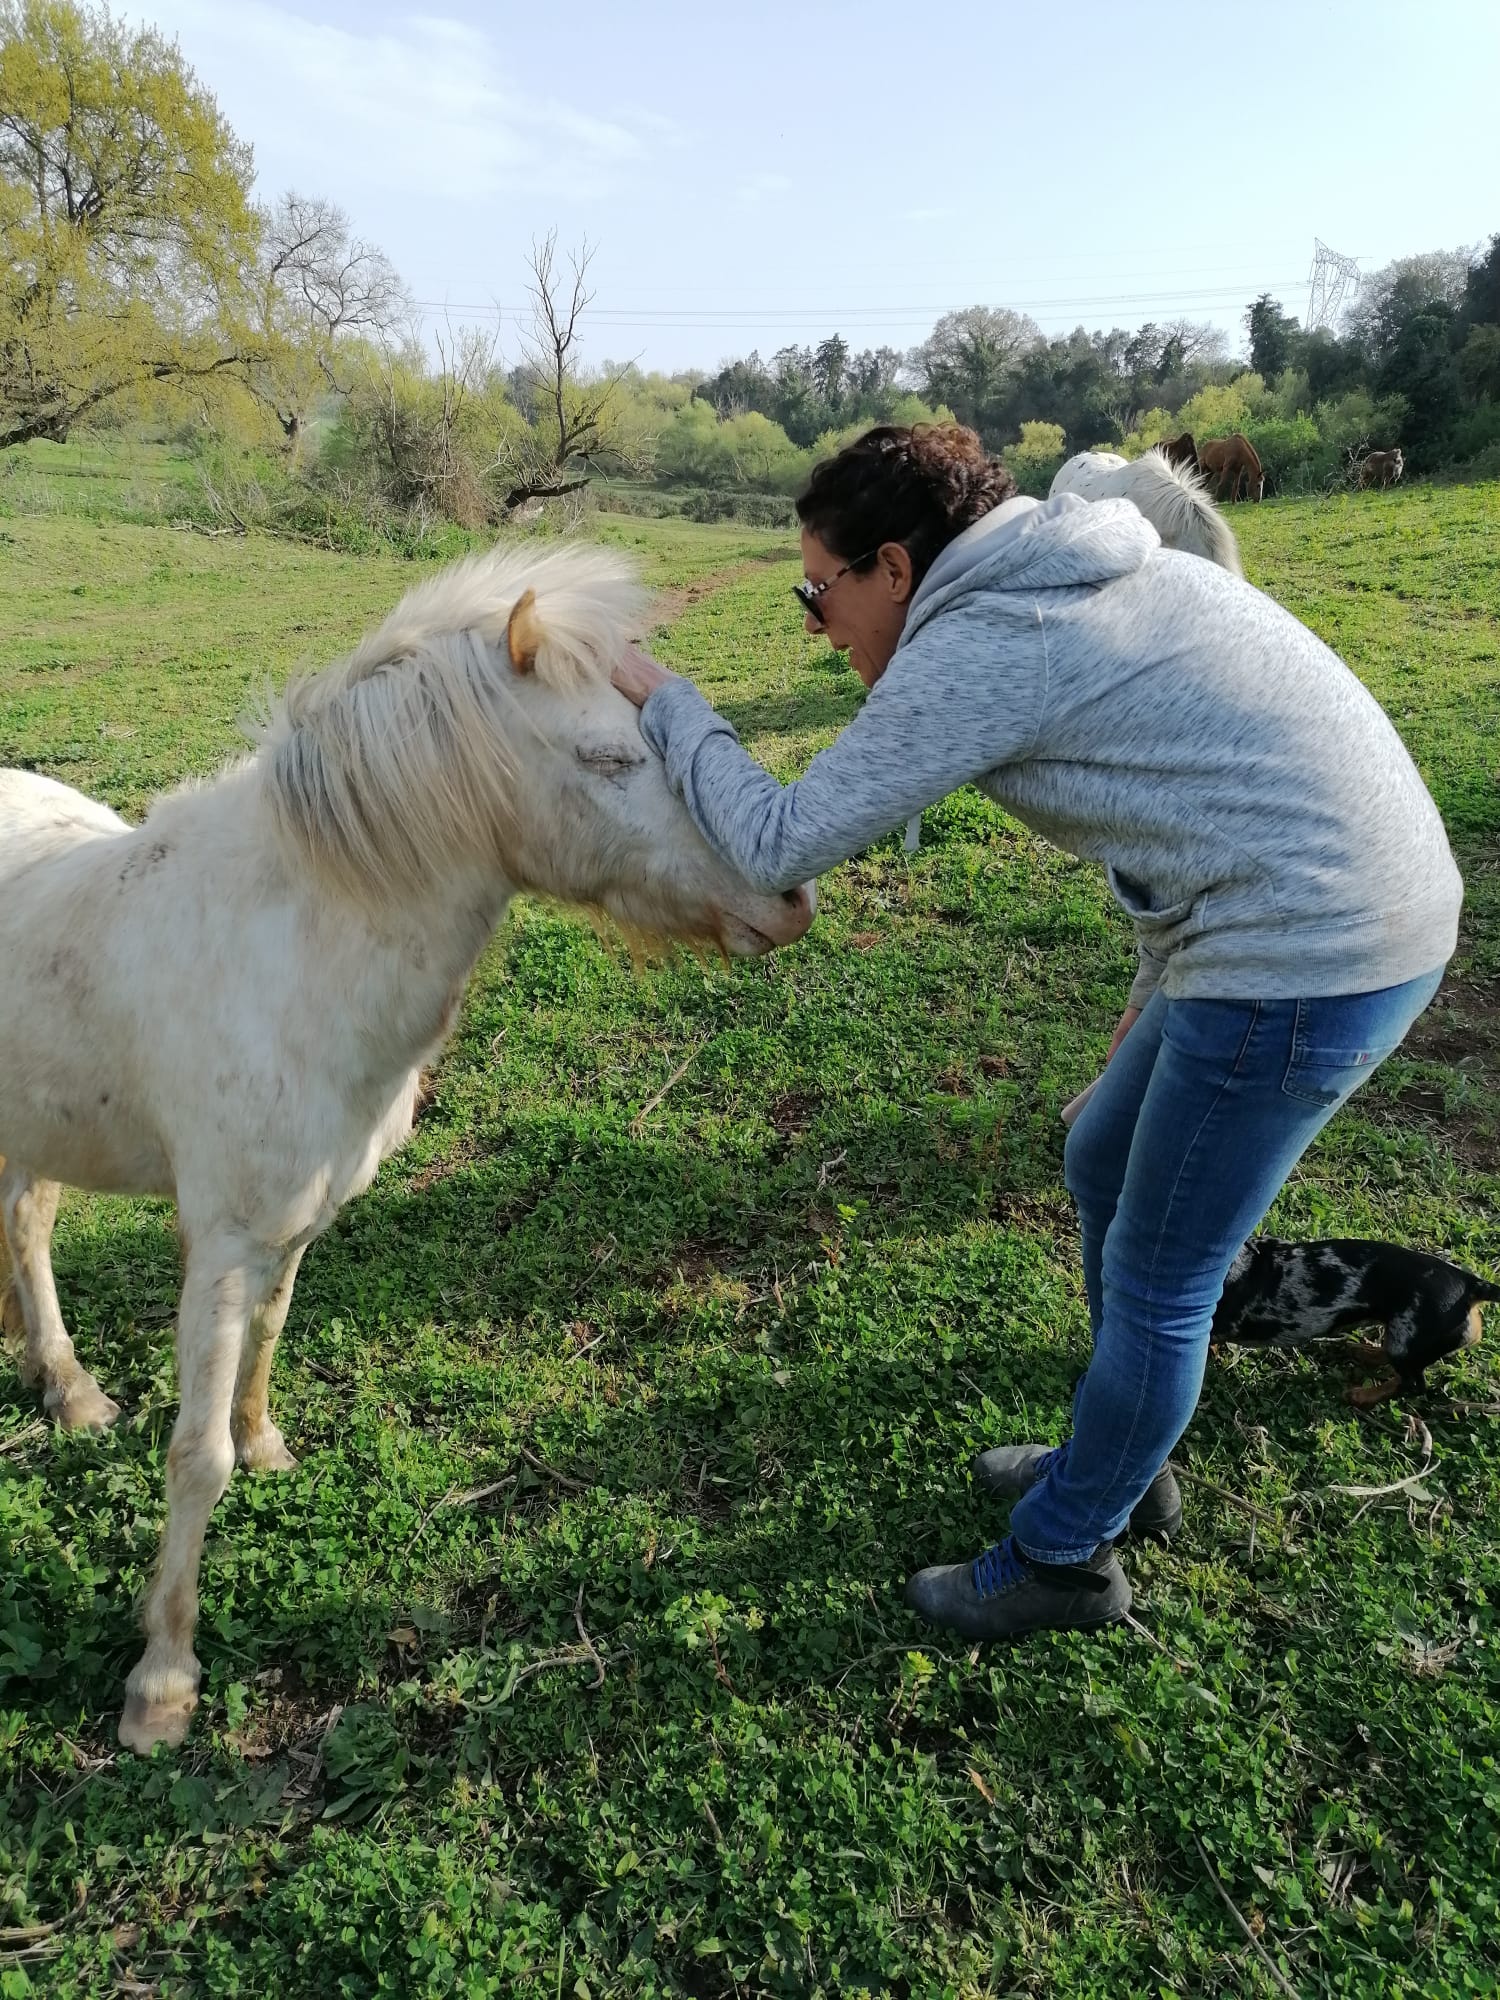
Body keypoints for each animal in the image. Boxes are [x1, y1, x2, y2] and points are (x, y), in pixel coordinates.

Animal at [0, 542, 815, 1754]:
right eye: (611, 755)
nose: (790, 896)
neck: (293, 946)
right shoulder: (222, 1242)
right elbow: (195, 1457)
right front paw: (163, 1684)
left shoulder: (296, 1221)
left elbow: (270, 1344)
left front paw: (270, 1443)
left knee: (26, 1219)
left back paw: (67, 1389)